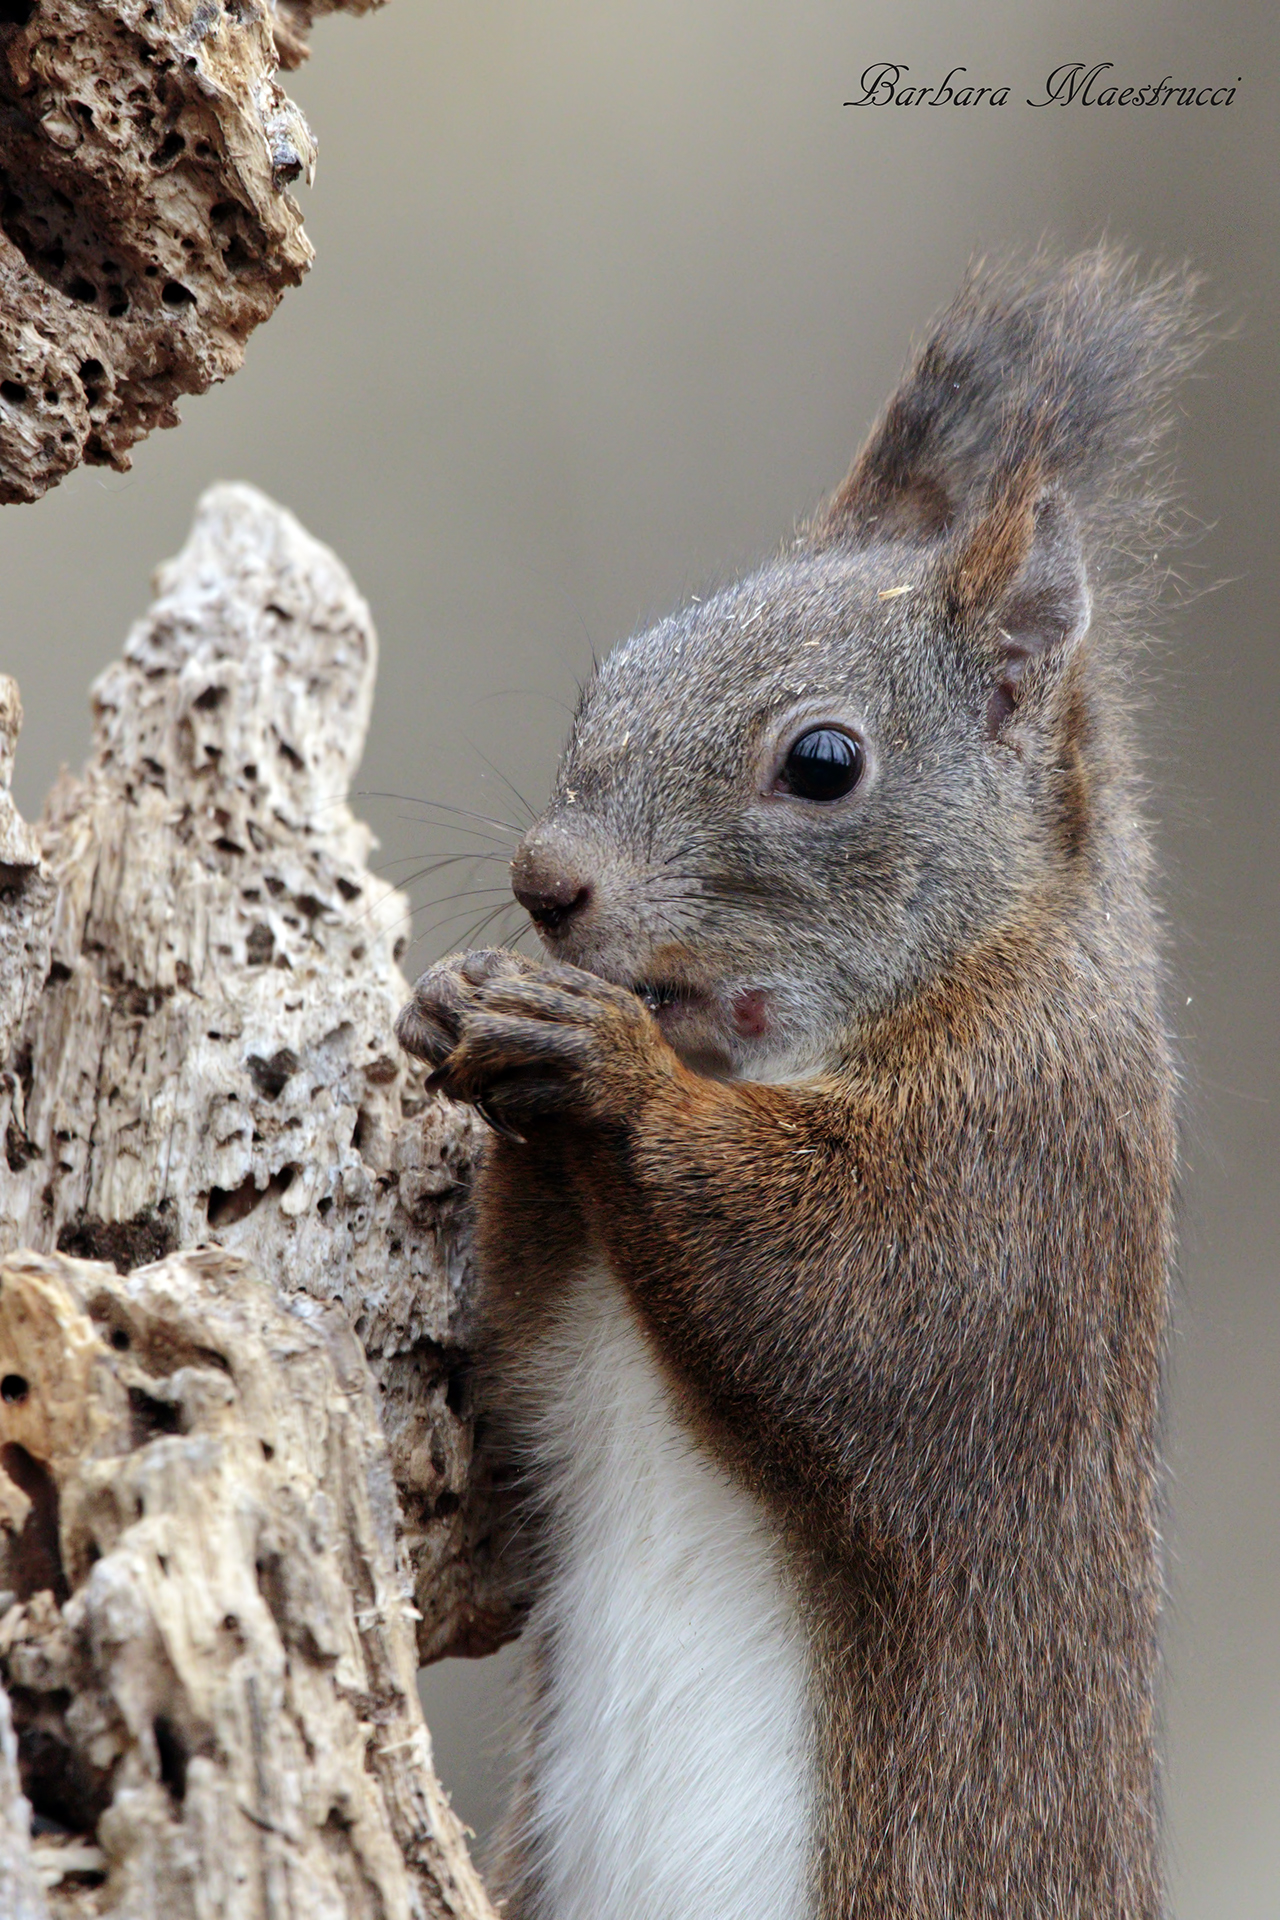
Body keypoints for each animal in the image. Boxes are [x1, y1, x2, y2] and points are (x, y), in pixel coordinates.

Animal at [396, 248, 1206, 1920]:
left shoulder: (1021, 1175)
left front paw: (610, 1066)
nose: (546, 883)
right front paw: (469, 1007)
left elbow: (848, 1305)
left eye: (823, 764)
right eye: (608, 682)